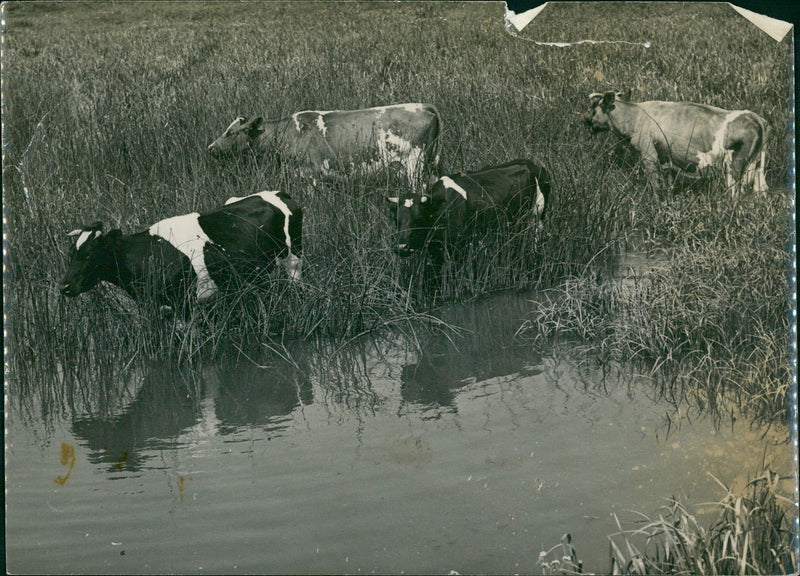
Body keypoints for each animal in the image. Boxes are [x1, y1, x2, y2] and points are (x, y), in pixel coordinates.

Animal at [61, 191, 303, 312]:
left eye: (90, 255)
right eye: (71, 254)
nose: (64, 287)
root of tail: (279, 193)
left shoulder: (183, 303)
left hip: (293, 261)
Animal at [385, 159, 550, 265]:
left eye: (419, 219)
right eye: (396, 220)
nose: (401, 248)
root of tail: (532, 164)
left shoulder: (459, 247)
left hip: (537, 217)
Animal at [585, 91, 769, 195]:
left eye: (593, 107)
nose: (585, 120)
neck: (635, 115)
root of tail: (755, 117)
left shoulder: (648, 154)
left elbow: (655, 184)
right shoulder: (666, 157)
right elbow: (667, 183)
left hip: (734, 166)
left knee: (735, 193)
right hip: (758, 167)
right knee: (761, 191)